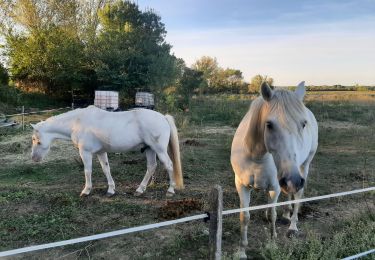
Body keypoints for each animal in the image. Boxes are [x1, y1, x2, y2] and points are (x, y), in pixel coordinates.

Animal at [30, 105, 184, 197]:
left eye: (36, 140)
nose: (34, 158)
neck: (77, 122)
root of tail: (163, 117)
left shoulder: (85, 153)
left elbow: (87, 171)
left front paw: (86, 190)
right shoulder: (101, 152)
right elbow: (106, 169)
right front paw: (111, 190)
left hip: (159, 150)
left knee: (169, 165)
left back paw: (170, 190)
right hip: (149, 149)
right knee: (151, 166)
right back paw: (140, 189)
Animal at [231, 81, 318, 258]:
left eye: (303, 124)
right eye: (269, 125)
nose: (293, 180)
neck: (256, 156)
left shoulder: (276, 187)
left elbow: (273, 215)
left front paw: (272, 244)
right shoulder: (241, 185)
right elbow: (245, 217)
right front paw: (241, 251)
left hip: (302, 167)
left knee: (297, 195)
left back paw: (292, 226)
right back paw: (286, 214)